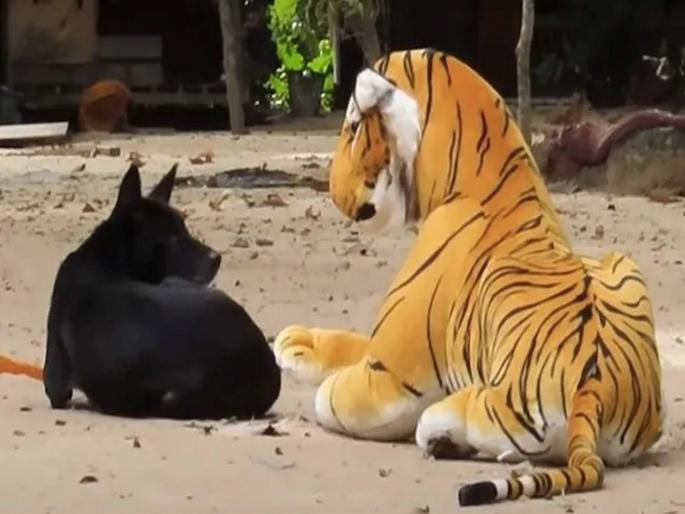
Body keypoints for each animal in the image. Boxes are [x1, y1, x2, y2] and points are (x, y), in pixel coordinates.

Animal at [273, 49, 664, 506]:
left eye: (352, 127)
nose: (332, 190)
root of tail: (598, 388)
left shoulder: (390, 376)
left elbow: (330, 395)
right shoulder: (380, 347)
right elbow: (349, 341)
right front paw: (296, 340)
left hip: (490, 410)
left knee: (446, 424)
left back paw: (444, 440)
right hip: (624, 264)